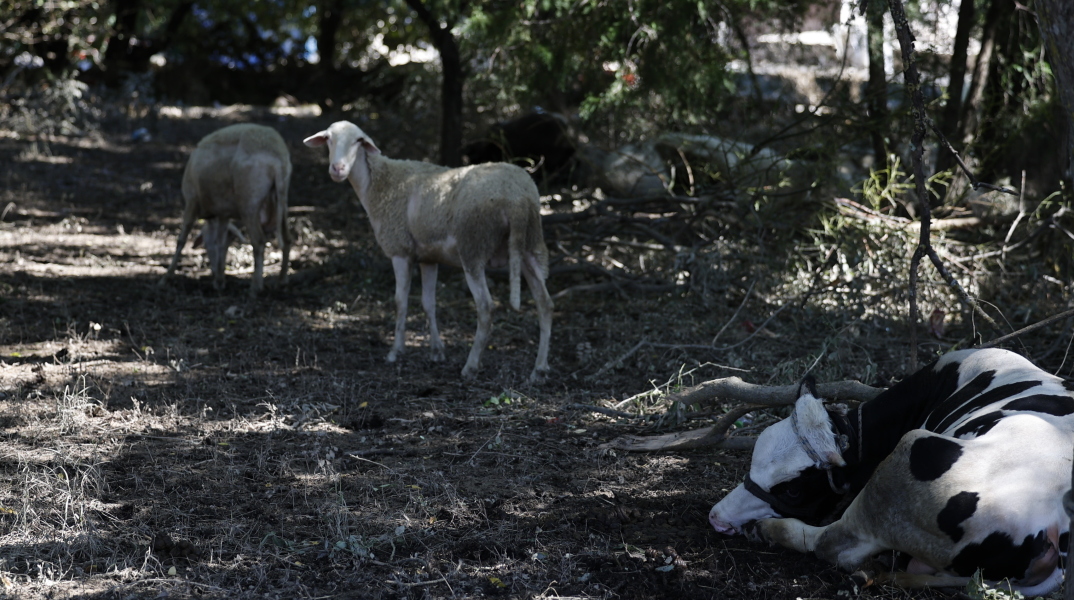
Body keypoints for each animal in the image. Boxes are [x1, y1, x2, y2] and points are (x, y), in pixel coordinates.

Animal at [158, 123, 294, 296]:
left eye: (205, 244)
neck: (212, 217)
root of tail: (278, 158)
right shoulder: (223, 213)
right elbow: (220, 242)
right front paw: (219, 280)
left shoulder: (191, 201)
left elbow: (181, 240)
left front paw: (166, 277)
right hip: (282, 200)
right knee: (287, 239)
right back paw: (282, 281)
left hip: (249, 202)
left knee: (258, 241)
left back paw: (255, 287)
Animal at [302, 119, 554, 379]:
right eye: (328, 139)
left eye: (358, 141)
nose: (337, 169)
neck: (378, 184)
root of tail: (518, 199)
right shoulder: (428, 258)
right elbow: (428, 303)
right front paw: (436, 351)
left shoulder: (400, 249)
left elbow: (400, 302)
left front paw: (395, 351)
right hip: (531, 245)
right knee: (545, 304)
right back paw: (540, 368)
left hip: (474, 246)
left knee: (486, 308)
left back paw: (471, 365)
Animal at [708, 347, 1074, 596]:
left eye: (793, 490)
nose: (717, 517)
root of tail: (1052, 526)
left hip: (904, 464)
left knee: (834, 545)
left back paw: (767, 530)